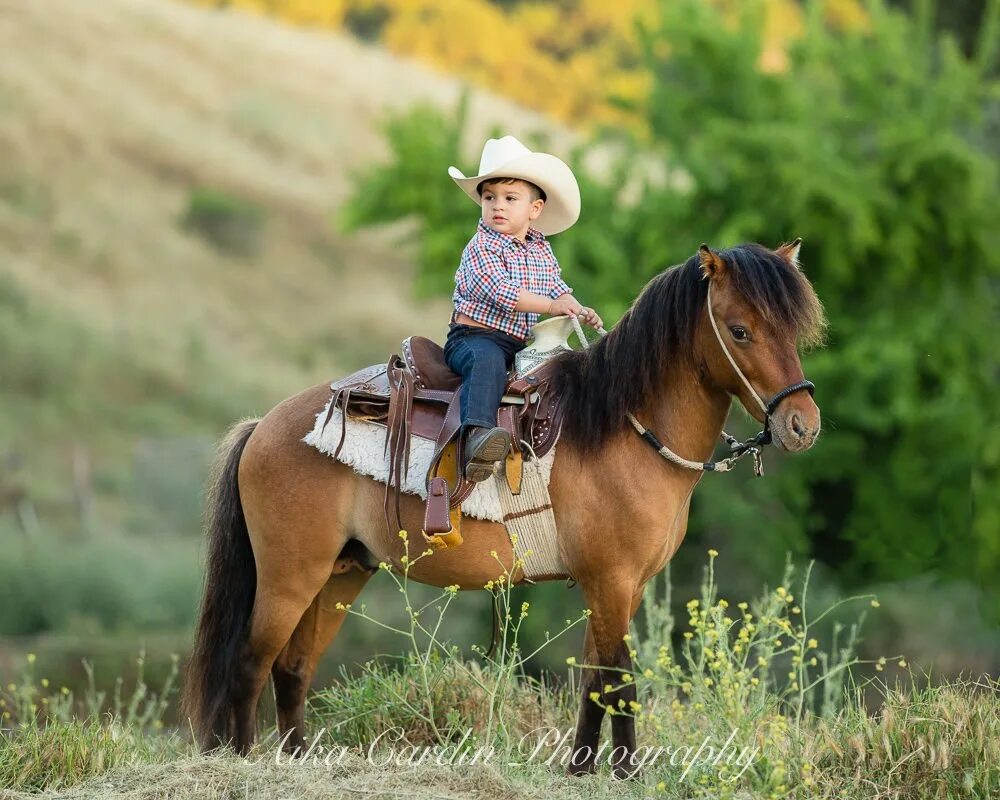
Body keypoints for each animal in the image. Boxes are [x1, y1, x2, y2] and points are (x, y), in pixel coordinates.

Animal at [184, 239, 824, 776]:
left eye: (794, 331)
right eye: (739, 331)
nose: (803, 426)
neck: (622, 429)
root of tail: (264, 426)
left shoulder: (622, 585)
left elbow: (595, 677)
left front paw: (581, 769)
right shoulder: (612, 579)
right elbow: (620, 679)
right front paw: (625, 773)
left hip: (341, 573)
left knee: (292, 668)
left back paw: (296, 761)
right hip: (290, 573)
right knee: (250, 662)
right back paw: (241, 760)